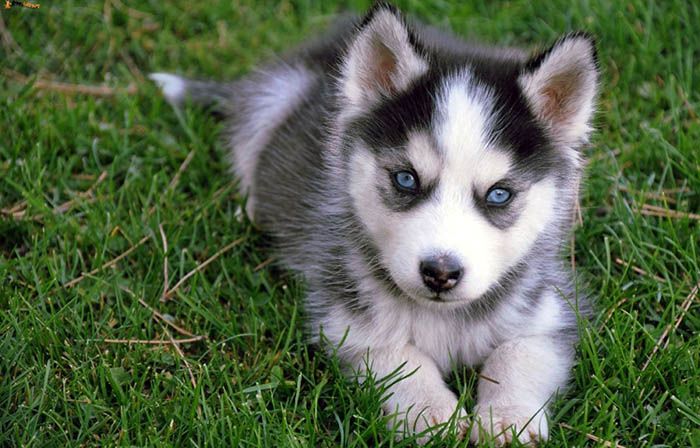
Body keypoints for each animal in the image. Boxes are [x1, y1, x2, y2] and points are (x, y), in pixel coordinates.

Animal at [150, 3, 598, 444]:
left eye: (499, 194)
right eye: (406, 179)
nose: (440, 273)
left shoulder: (550, 310)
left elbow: (519, 353)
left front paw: (508, 417)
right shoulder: (345, 317)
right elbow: (398, 356)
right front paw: (432, 413)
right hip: (272, 100)